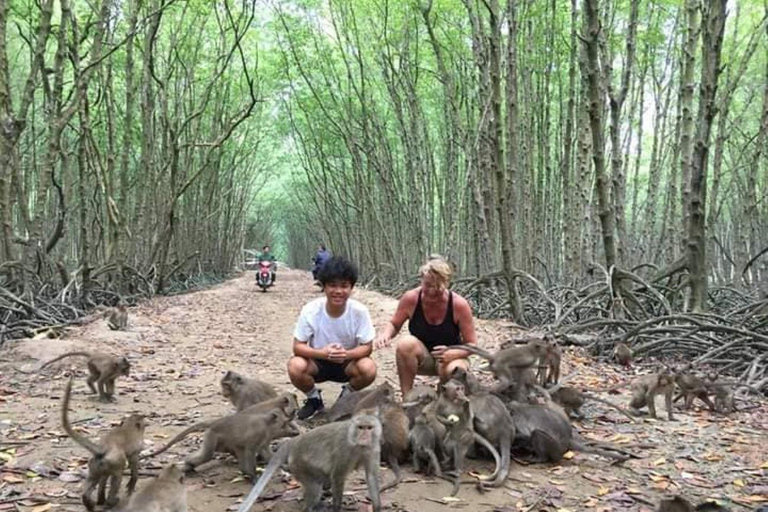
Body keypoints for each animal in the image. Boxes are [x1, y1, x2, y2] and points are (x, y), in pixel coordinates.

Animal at [61, 376, 146, 508]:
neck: (128, 426)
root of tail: (103, 448)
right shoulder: (136, 448)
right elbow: (133, 463)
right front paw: (132, 483)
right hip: (115, 462)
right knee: (117, 477)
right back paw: (110, 502)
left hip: (95, 464)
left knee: (95, 479)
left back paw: (91, 502)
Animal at [232, 410, 380, 512]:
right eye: (361, 427)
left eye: (369, 428)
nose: (364, 436)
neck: (357, 444)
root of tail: (294, 442)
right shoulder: (345, 449)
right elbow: (338, 476)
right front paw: (336, 508)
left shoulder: (373, 449)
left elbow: (371, 477)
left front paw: (377, 507)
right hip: (301, 465)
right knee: (315, 489)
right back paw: (311, 507)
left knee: (323, 483)